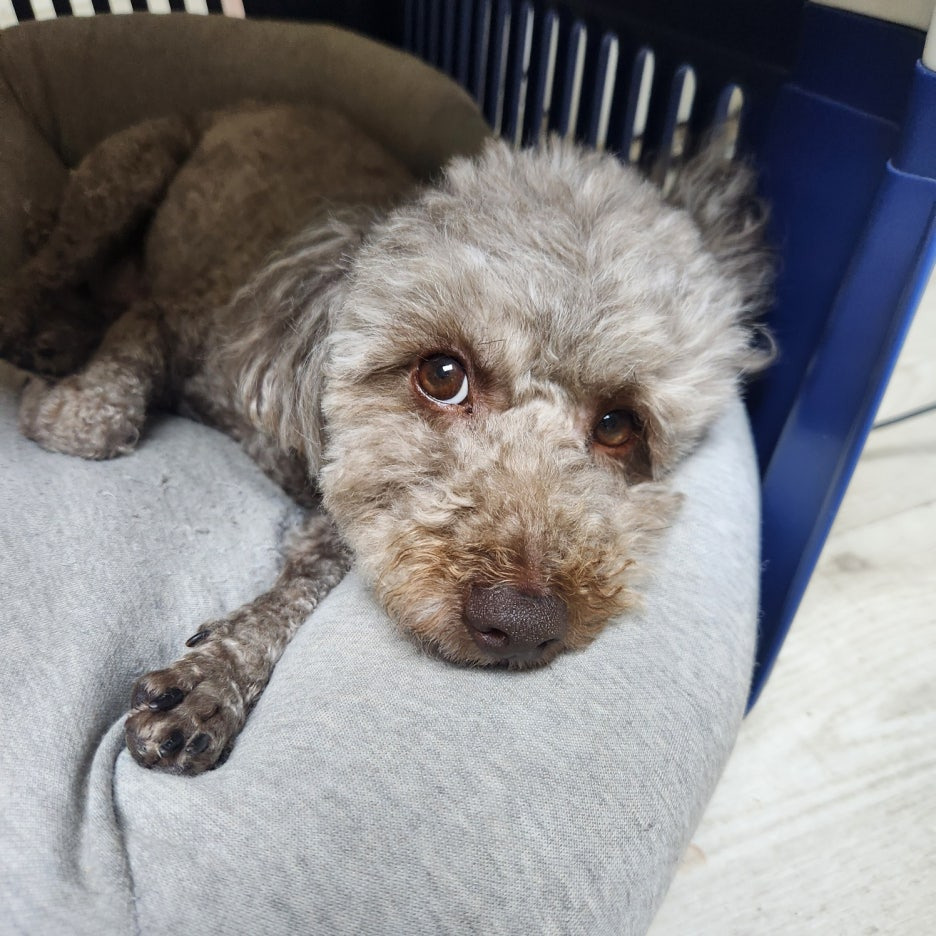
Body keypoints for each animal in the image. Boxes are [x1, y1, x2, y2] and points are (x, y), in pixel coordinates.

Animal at [1, 102, 772, 774]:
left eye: (618, 426)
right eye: (442, 375)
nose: (522, 623)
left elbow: (311, 575)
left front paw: (213, 680)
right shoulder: (171, 321)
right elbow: (95, 424)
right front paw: (50, 405)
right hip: (126, 173)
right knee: (45, 260)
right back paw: (35, 333)